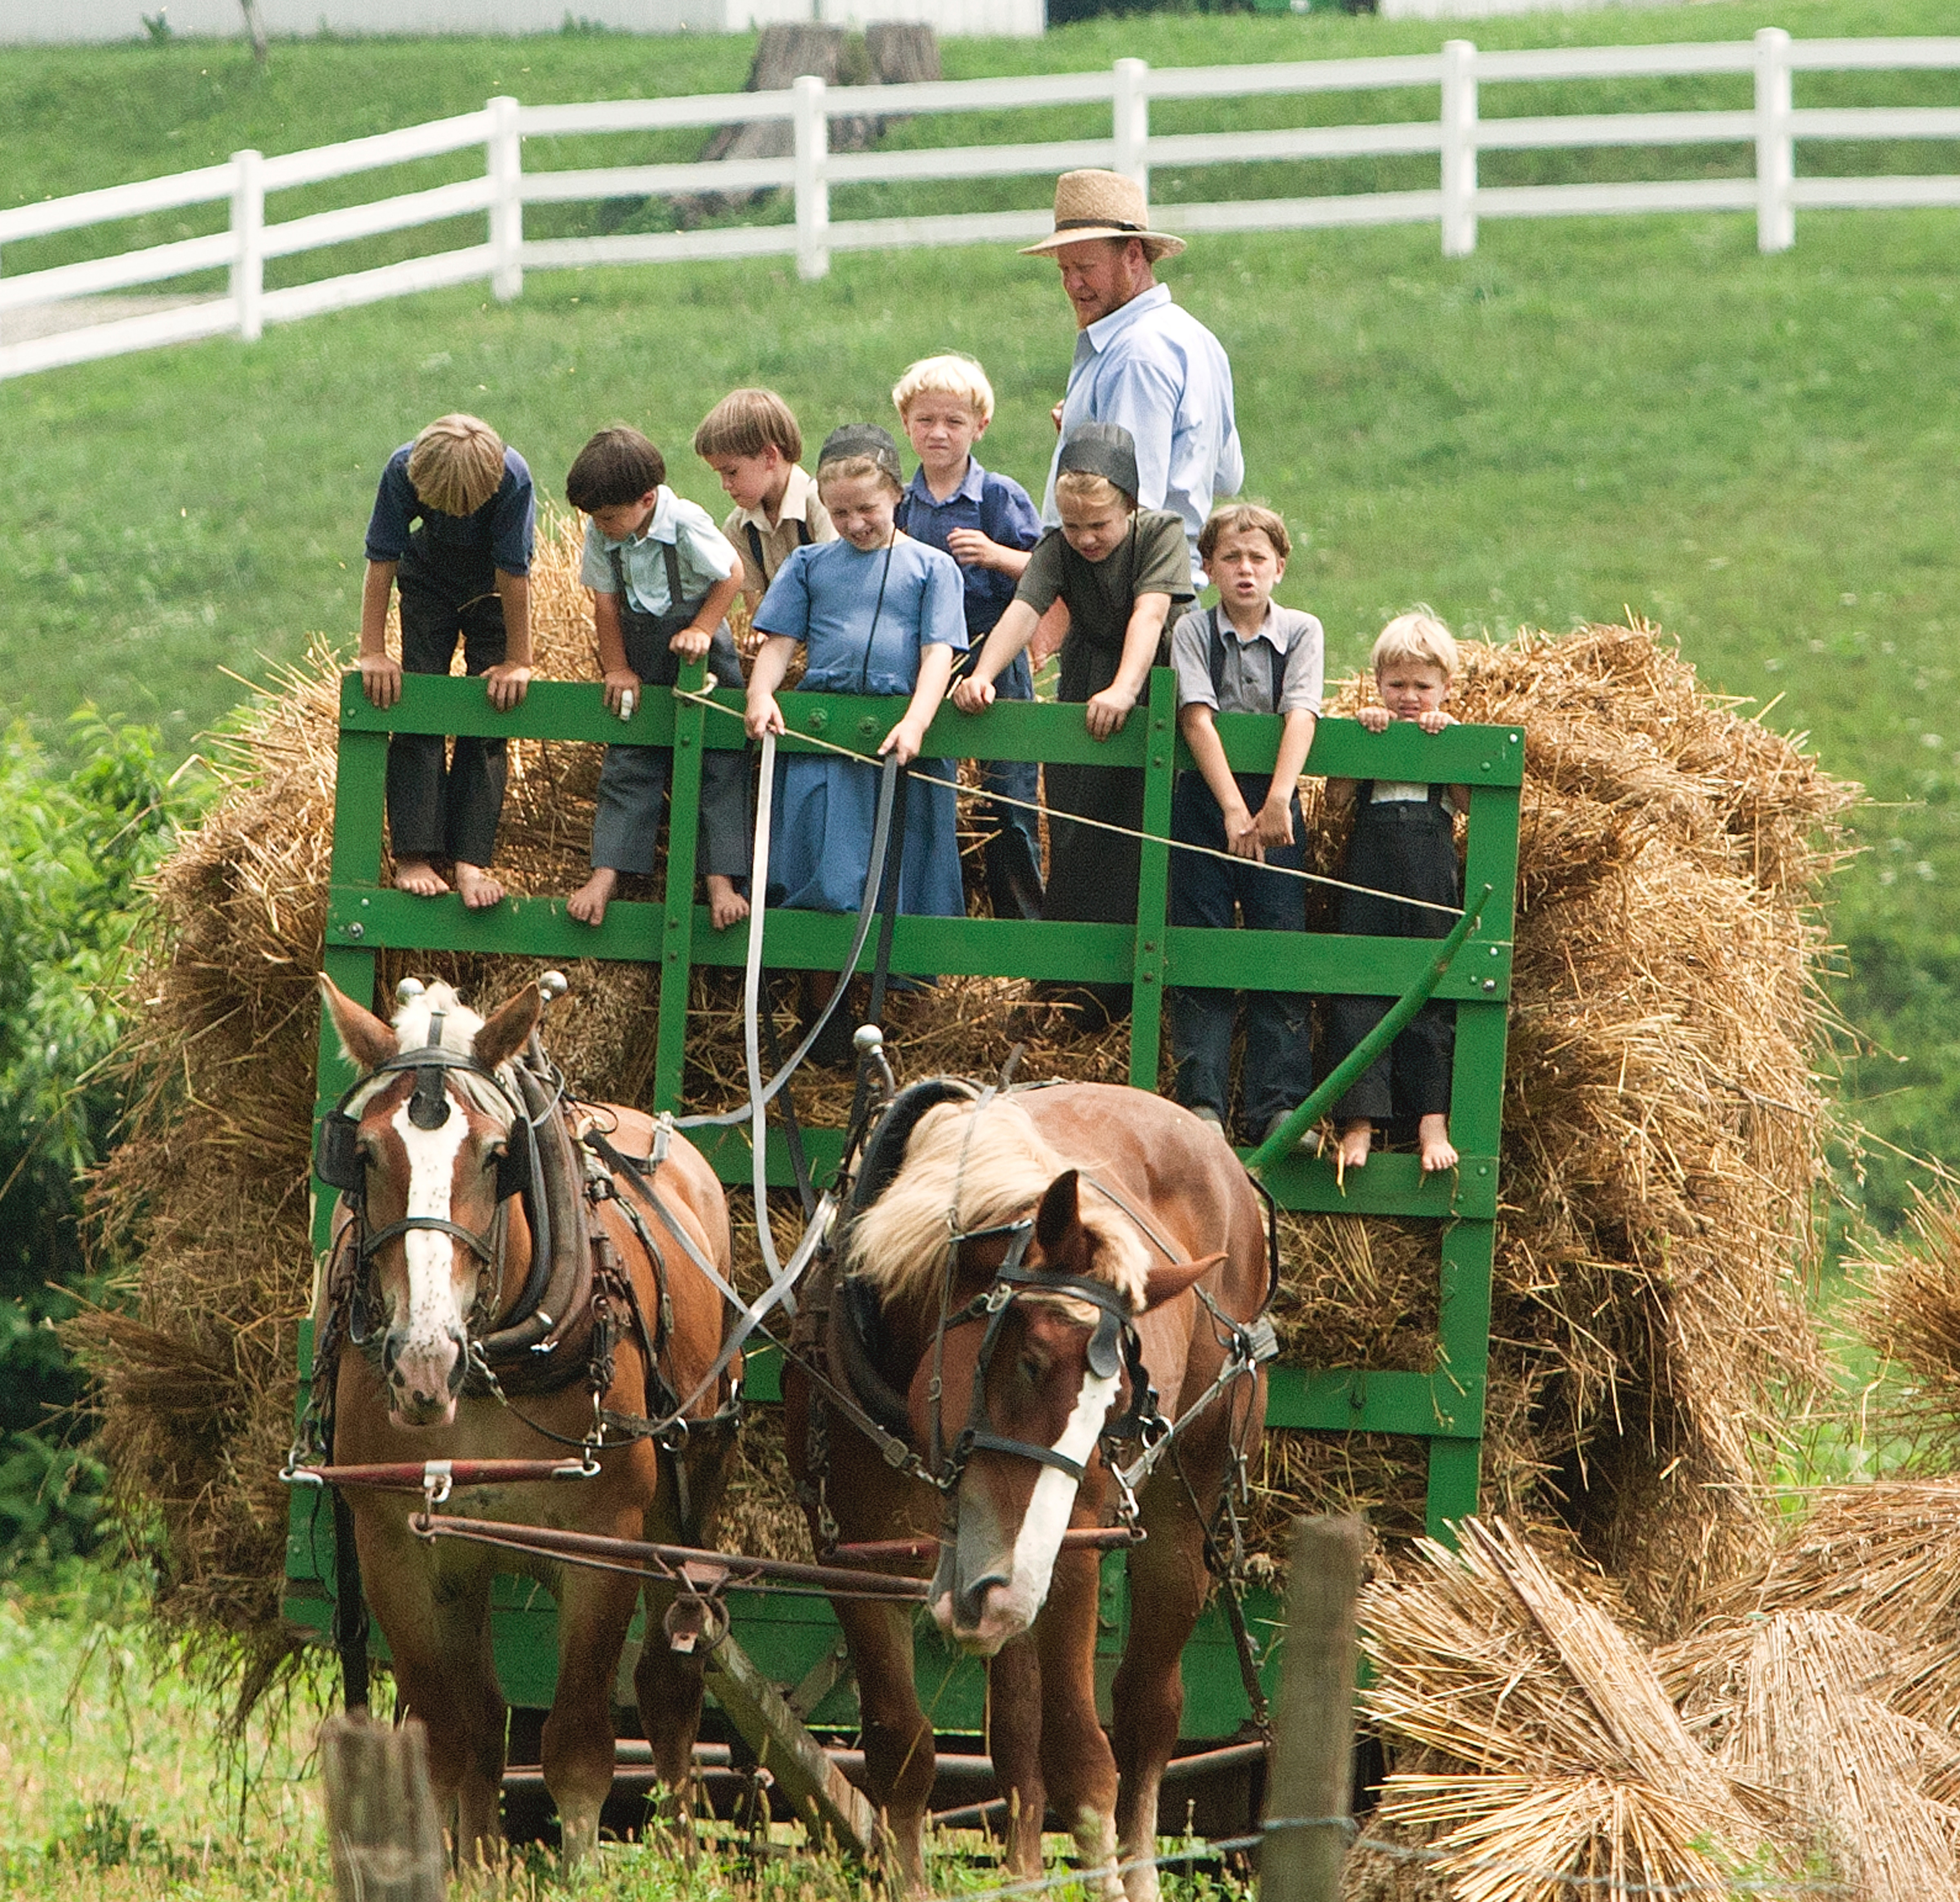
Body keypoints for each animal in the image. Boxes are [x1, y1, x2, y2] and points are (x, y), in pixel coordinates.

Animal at [314, 983, 741, 1857]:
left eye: (495, 1154)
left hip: (687, 1497)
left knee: (669, 1679)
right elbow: (452, 1734)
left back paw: (680, 1848)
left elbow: (577, 1743)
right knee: (486, 1714)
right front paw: (465, 1866)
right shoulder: (398, 1549)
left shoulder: (604, 1542)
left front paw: (582, 1866)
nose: (423, 1360)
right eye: (364, 1153)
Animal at [788, 1089, 1278, 1902]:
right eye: (1031, 1359)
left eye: (1119, 1401)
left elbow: (1083, 1759)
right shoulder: (854, 1550)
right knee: (1017, 1728)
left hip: (1180, 1514)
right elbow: (902, 1746)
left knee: (1146, 1713)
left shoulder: (1069, 1549)